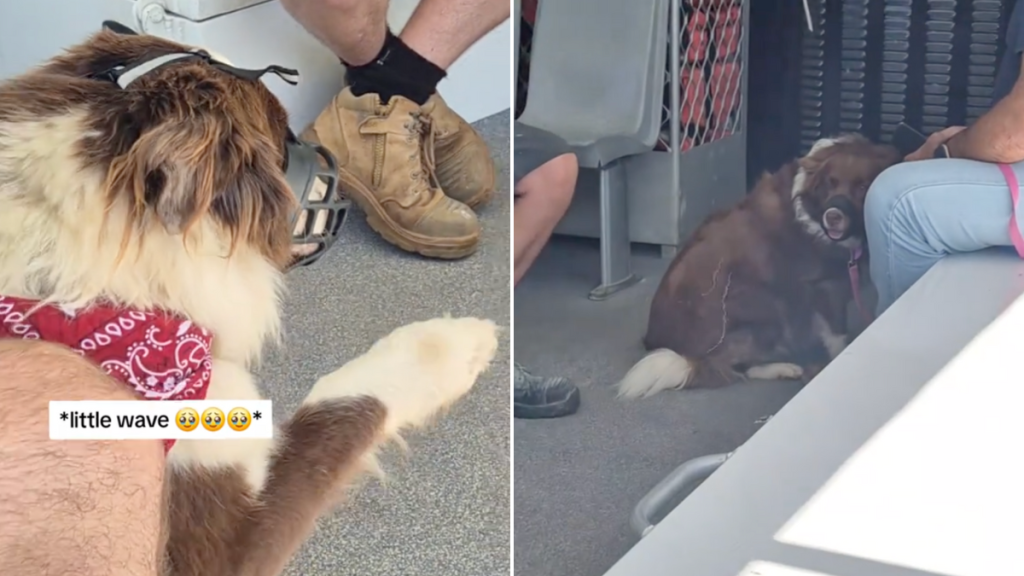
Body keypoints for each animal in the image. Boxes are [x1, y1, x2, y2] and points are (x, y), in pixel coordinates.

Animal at [614, 133, 897, 397]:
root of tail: (689, 360)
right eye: (831, 182)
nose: (834, 216)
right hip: (764, 304)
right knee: (732, 367)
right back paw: (782, 367)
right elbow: (829, 336)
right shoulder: (813, 289)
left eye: (862, 186)